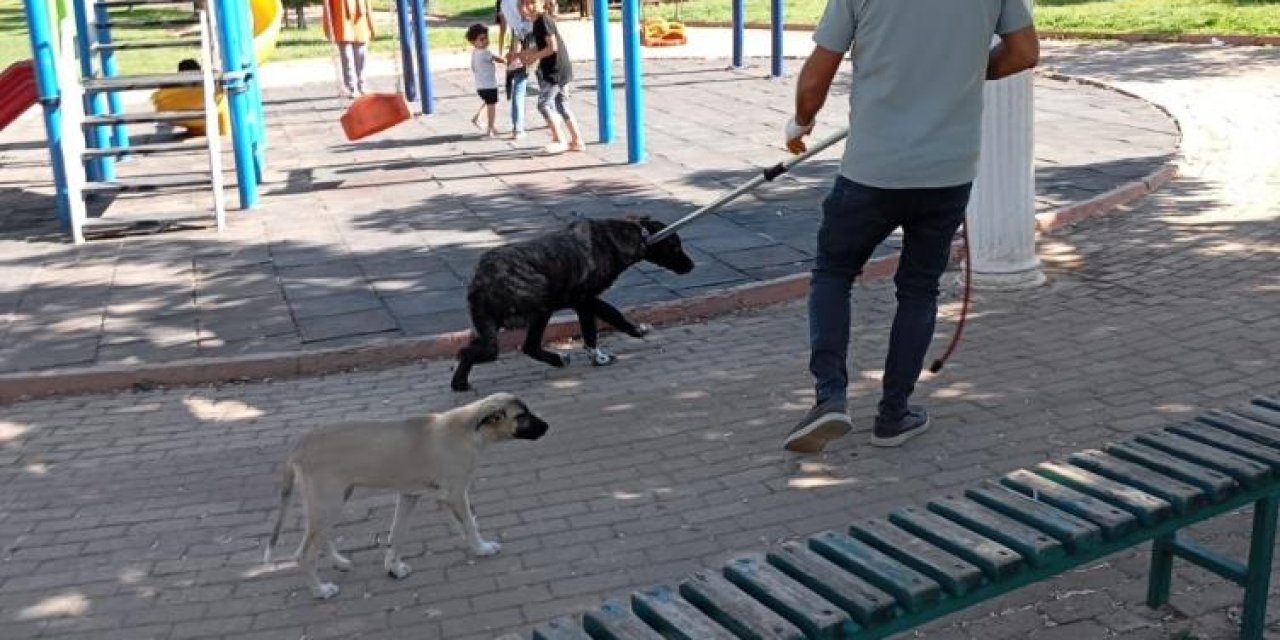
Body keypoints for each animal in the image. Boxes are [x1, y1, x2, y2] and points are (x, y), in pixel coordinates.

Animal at [262, 391, 547, 596]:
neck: (469, 431)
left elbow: (397, 534)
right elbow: (469, 525)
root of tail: (299, 445)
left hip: (333, 500)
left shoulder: (409, 495)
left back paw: (339, 562)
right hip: (328, 502)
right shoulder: (455, 494)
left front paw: (394, 568)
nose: (547, 427)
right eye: (522, 415)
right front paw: (482, 548)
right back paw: (320, 590)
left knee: (319, 537)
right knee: (303, 554)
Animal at [450, 217, 691, 391]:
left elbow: (596, 325)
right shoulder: (584, 299)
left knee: (473, 350)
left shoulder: (582, 302)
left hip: (491, 324)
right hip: (541, 307)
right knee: (527, 346)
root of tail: (481, 281)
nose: (691, 266)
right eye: (675, 246)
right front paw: (623, 339)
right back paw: (557, 359)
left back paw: (459, 382)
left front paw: (602, 353)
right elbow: (608, 317)